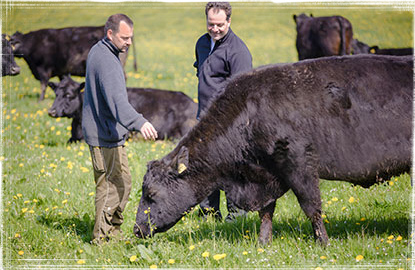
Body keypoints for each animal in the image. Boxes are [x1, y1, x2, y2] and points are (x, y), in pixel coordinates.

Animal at [134, 54, 412, 247]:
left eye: (151, 194)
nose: (137, 229)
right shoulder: (267, 174)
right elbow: (266, 212)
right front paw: (263, 243)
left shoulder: (299, 163)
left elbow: (311, 206)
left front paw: (323, 243)